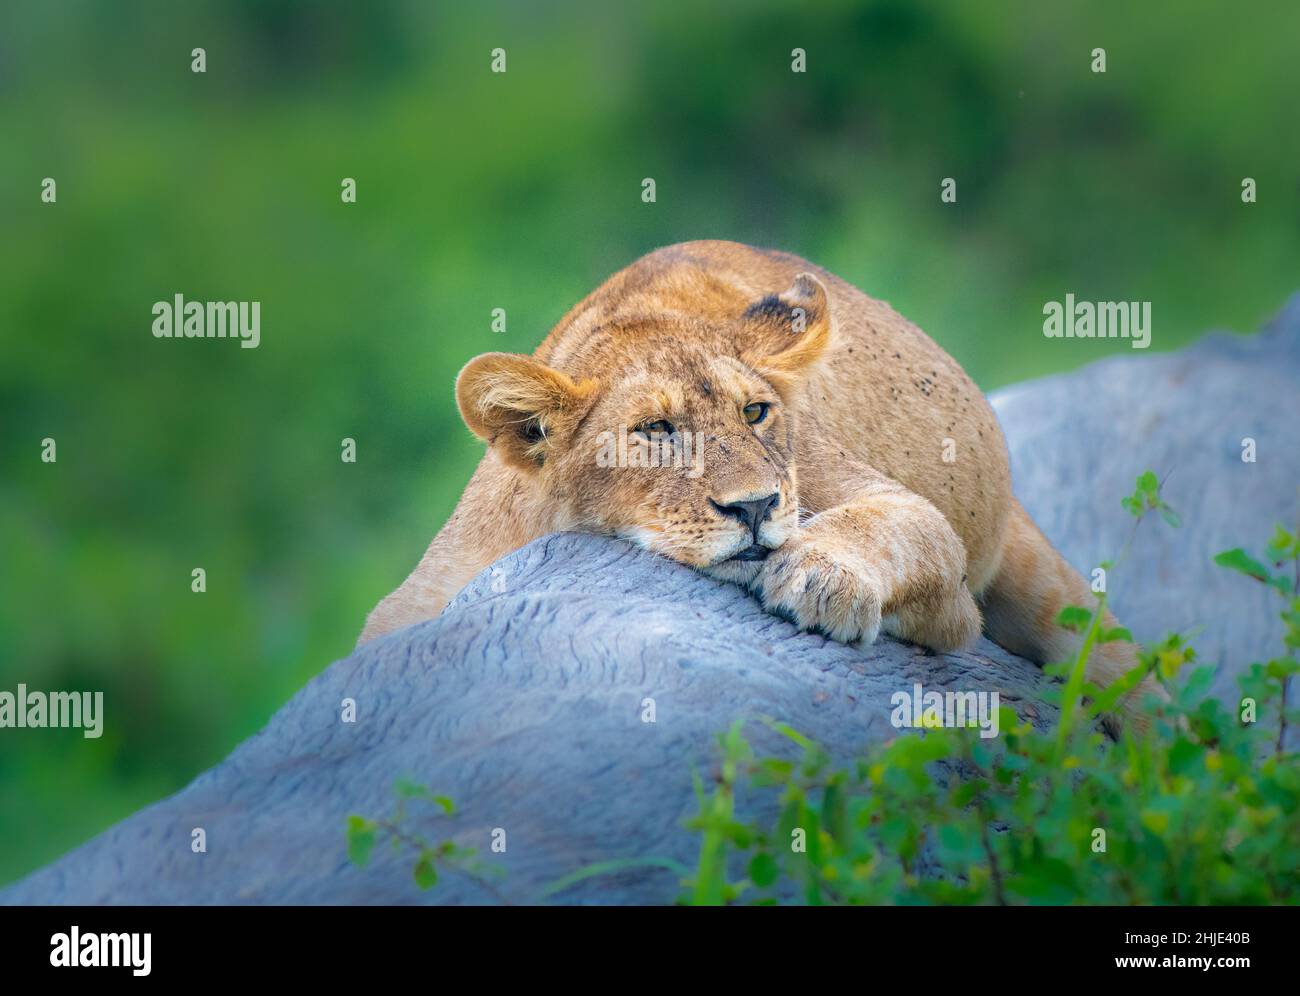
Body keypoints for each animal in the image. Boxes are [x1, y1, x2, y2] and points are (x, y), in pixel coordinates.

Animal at [359, 240, 1159, 726]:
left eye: (755, 412)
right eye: (655, 431)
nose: (755, 507)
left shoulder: (943, 583)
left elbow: (895, 524)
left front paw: (818, 578)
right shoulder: (421, 594)